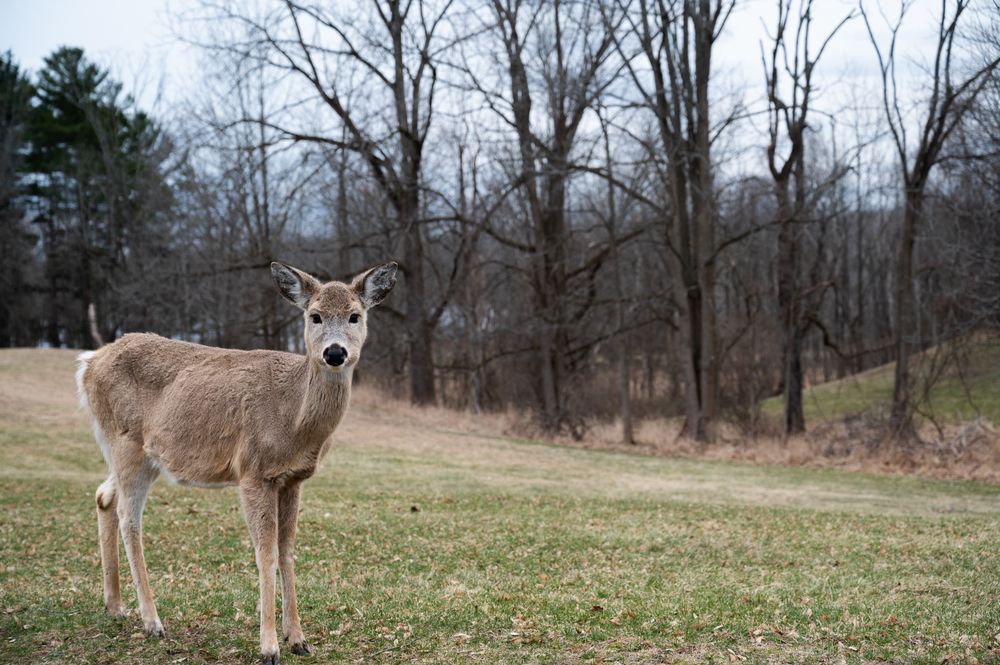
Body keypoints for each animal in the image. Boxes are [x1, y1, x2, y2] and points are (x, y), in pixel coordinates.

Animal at [76, 261, 397, 664]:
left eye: (356, 315)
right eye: (315, 316)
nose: (335, 352)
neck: (293, 416)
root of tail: (88, 363)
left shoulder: (294, 479)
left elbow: (288, 552)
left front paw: (299, 639)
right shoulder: (253, 471)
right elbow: (266, 555)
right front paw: (269, 646)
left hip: (137, 455)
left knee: (104, 495)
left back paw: (115, 606)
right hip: (127, 443)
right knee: (128, 519)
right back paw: (152, 622)